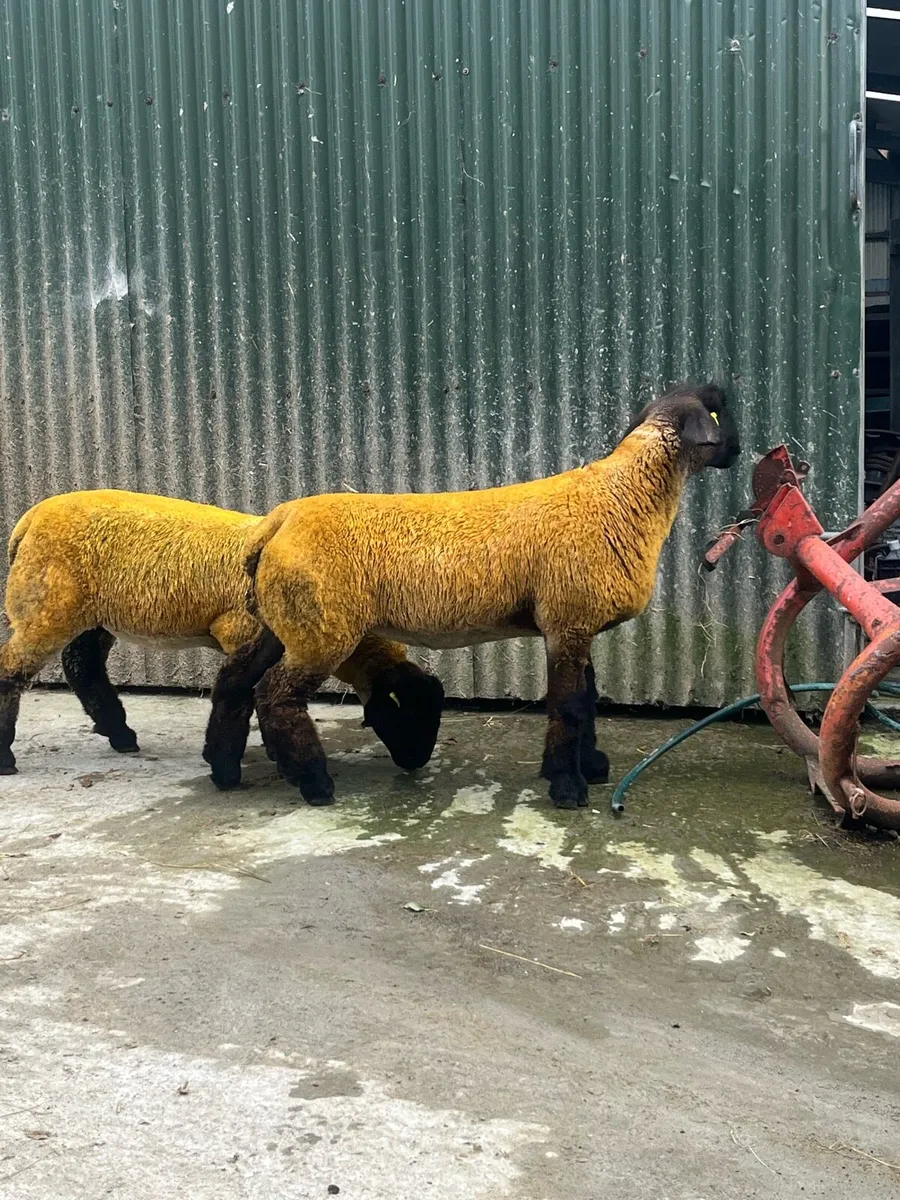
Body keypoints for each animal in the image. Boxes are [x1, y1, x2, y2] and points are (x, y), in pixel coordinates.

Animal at [0, 490, 444, 782]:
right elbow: (245, 690)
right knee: (13, 670)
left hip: (91, 615)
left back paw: (120, 734)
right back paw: (7, 757)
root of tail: (29, 519)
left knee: (83, 666)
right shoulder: (241, 630)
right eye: (404, 714)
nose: (416, 763)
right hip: (44, 603)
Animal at [202, 383, 740, 809]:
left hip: (283, 621)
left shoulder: (575, 625)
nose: (739, 451)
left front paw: (587, 767)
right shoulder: (567, 620)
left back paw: (223, 769)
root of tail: (278, 521)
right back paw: (313, 782)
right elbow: (569, 706)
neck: (620, 498)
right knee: (275, 696)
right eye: (718, 417)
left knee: (234, 682)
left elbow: (587, 700)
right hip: (320, 626)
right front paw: (567, 787)